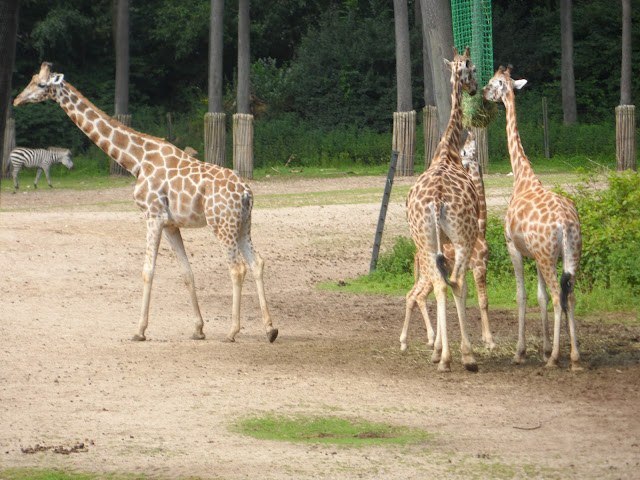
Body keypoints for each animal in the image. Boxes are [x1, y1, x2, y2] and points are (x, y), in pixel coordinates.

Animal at [13, 62, 278, 344]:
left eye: (41, 84)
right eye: (32, 79)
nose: (17, 100)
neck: (136, 159)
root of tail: (247, 193)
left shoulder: (153, 214)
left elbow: (147, 270)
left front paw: (139, 330)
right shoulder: (171, 223)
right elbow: (186, 272)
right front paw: (198, 329)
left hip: (222, 225)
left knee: (237, 268)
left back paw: (232, 331)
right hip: (243, 225)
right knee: (257, 262)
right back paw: (270, 329)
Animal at [482, 64, 584, 372]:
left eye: (492, 82)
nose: (482, 93)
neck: (522, 177)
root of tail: (565, 223)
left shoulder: (514, 247)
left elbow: (522, 296)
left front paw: (522, 352)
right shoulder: (536, 255)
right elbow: (540, 297)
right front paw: (546, 347)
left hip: (549, 255)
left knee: (559, 296)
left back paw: (555, 360)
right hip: (570, 253)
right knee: (570, 295)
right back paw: (574, 358)